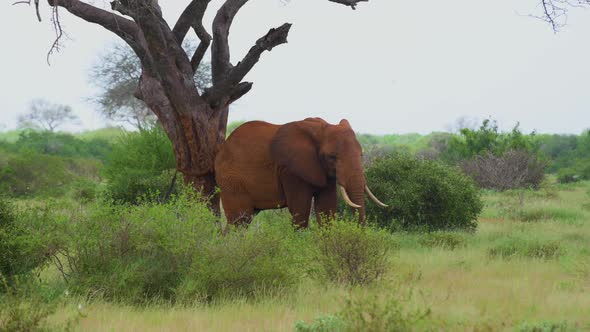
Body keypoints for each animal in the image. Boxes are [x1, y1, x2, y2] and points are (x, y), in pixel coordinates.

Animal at [214, 116, 388, 228]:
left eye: (362, 155)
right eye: (332, 157)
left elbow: (327, 210)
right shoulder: (290, 171)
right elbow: (301, 212)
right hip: (231, 181)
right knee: (239, 220)